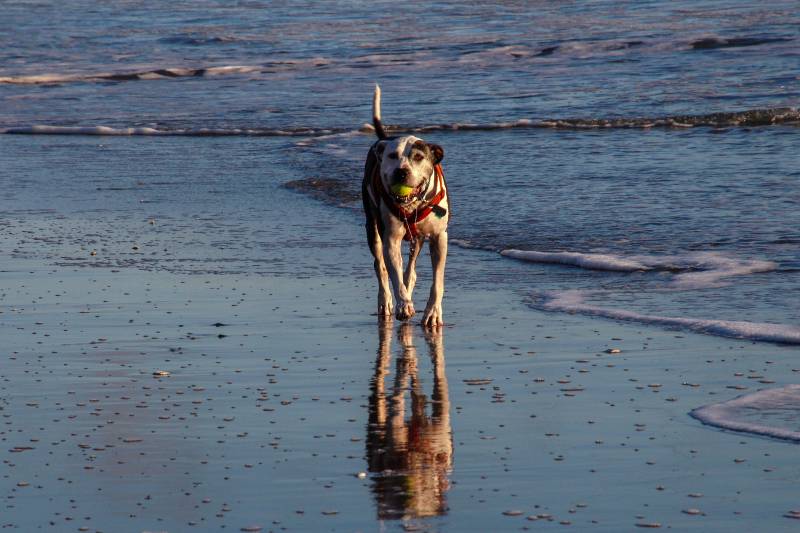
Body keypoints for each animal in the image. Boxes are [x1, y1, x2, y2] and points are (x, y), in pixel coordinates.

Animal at [362, 83, 450, 326]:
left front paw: (433, 312)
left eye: (419, 157)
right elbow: (393, 275)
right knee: (381, 267)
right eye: (392, 156)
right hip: (372, 228)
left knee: (410, 271)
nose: (401, 172)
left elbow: (437, 281)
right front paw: (404, 305)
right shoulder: (390, 239)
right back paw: (386, 302)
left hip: (417, 238)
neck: (413, 204)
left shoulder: (439, 238)